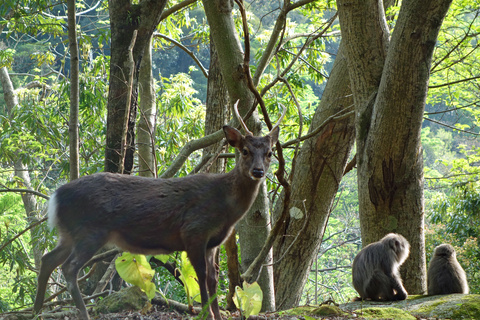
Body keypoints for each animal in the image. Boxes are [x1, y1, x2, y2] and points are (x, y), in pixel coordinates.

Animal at [32, 101, 284, 320]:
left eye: (270, 153)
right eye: (244, 150)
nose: (258, 171)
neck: (226, 210)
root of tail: (55, 197)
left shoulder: (213, 242)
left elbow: (213, 279)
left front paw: (217, 316)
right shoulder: (194, 231)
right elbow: (201, 276)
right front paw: (206, 314)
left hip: (69, 233)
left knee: (47, 259)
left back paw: (36, 311)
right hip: (90, 232)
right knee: (69, 268)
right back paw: (81, 313)